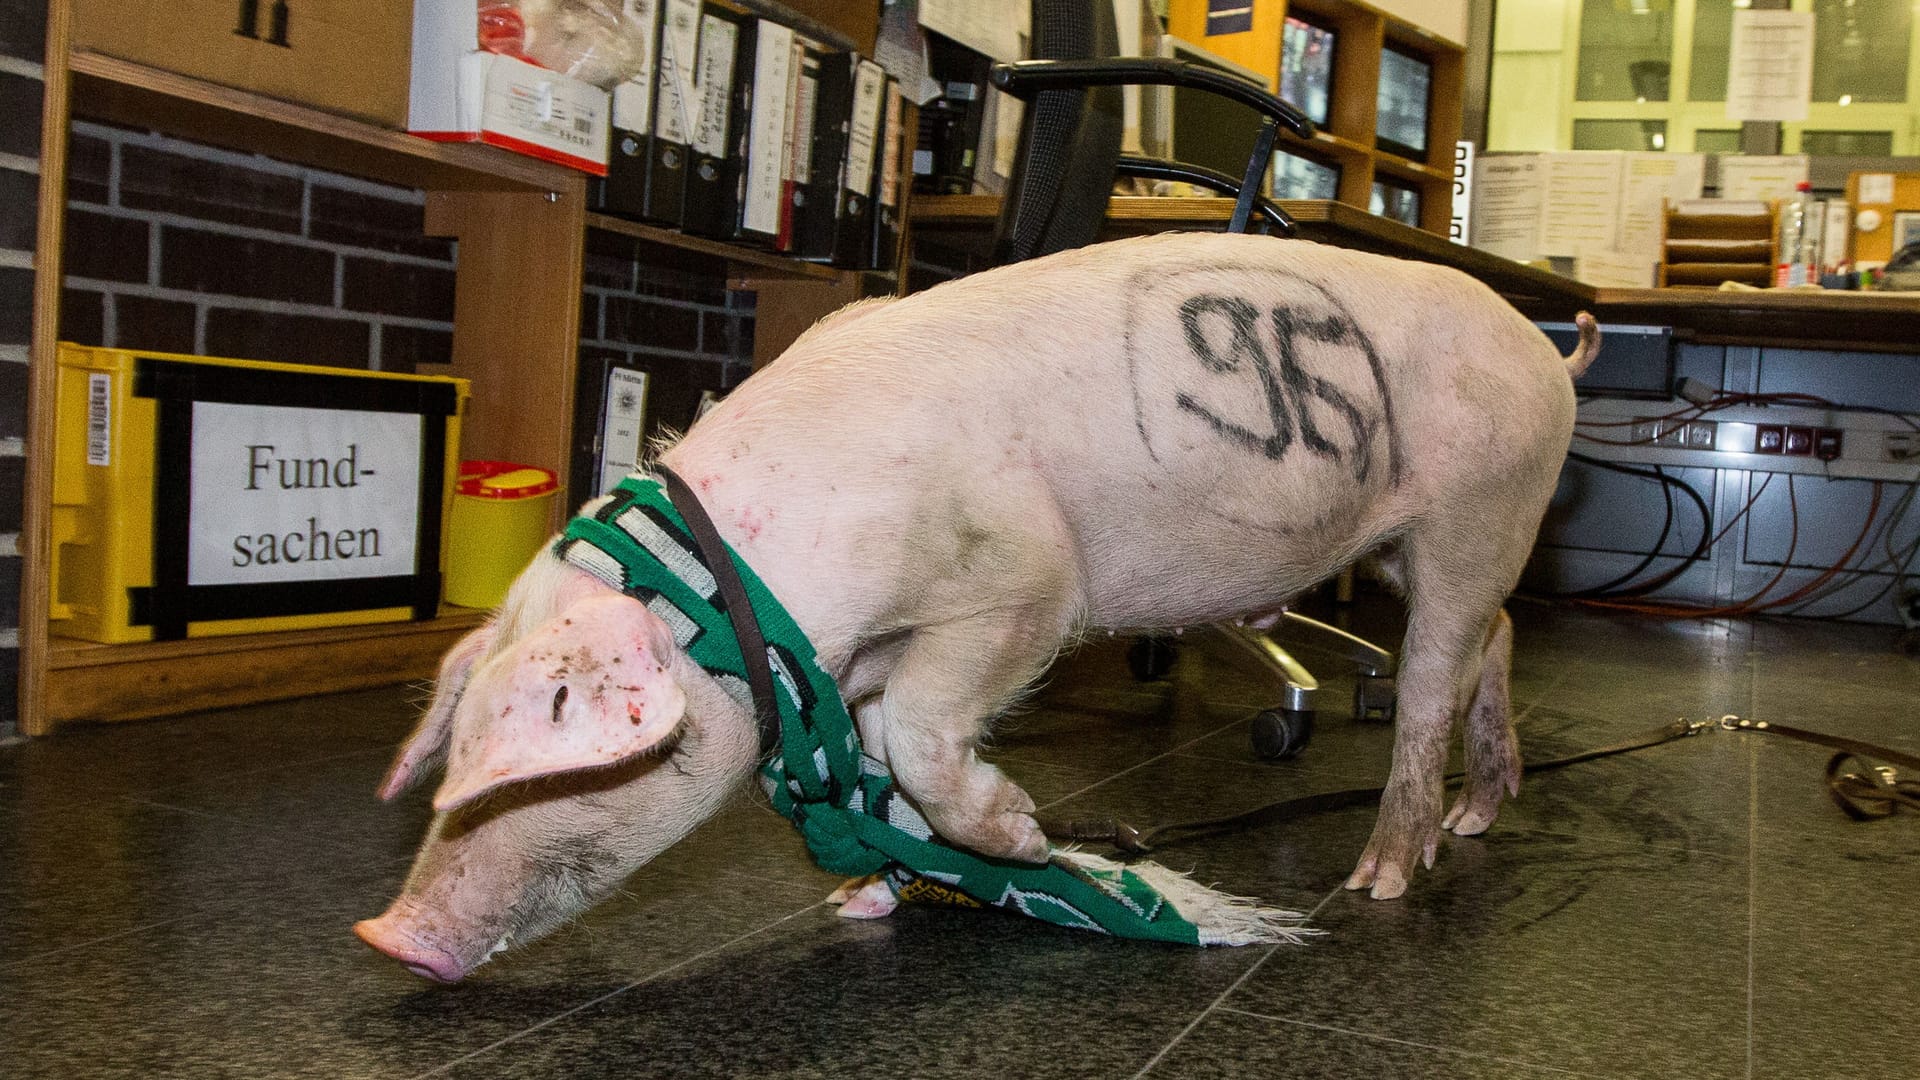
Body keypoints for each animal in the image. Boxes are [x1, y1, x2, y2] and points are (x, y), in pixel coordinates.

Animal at [353, 231, 1597, 980]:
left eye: (566, 749)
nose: (388, 935)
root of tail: (1551, 350)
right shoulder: (859, 658)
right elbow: (873, 760)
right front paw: (862, 900)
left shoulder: (1025, 584)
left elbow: (920, 733)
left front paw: (1029, 838)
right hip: (1405, 545)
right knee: (1497, 632)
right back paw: (1480, 815)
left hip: (1481, 504)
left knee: (1432, 677)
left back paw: (1383, 878)